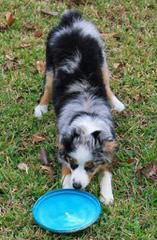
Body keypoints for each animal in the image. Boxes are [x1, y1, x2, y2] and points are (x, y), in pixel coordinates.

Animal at [34, 9, 124, 204]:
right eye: (74, 164)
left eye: (90, 167)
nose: (77, 186)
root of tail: (72, 21)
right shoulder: (63, 147)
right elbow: (65, 173)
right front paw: (68, 190)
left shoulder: (108, 149)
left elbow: (106, 172)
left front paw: (107, 195)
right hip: (50, 63)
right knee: (48, 87)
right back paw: (41, 108)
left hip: (102, 60)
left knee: (107, 84)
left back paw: (117, 103)